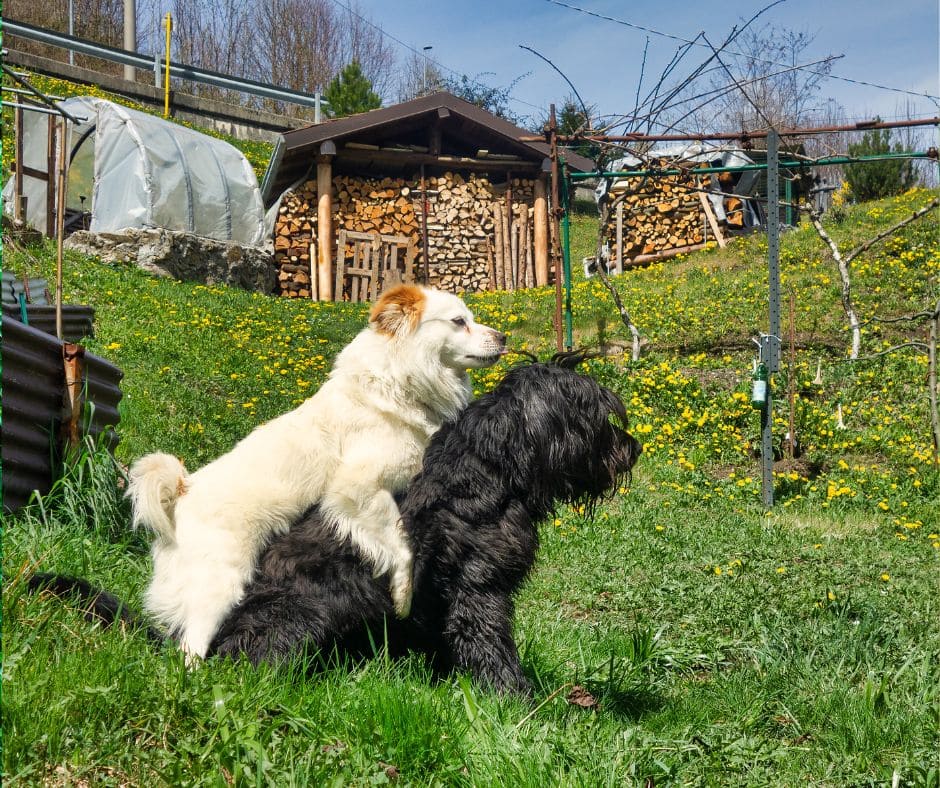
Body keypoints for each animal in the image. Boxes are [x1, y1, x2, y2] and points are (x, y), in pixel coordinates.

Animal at [27, 360, 640, 692]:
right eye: (597, 416)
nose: (632, 448)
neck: (489, 471)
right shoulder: (478, 591)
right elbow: (490, 648)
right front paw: (521, 701)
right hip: (305, 610)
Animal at [130, 284, 506, 660]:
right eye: (459, 321)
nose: (503, 337)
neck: (398, 381)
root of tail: (181, 491)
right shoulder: (357, 489)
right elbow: (401, 545)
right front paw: (403, 596)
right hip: (220, 585)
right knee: (189, 649)